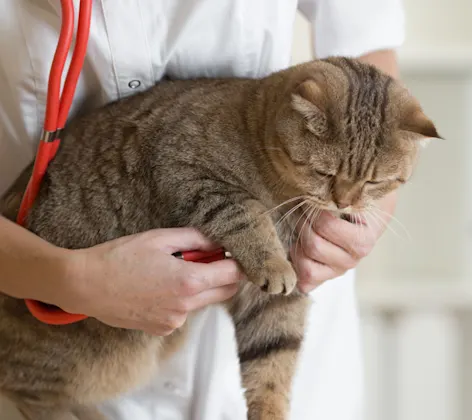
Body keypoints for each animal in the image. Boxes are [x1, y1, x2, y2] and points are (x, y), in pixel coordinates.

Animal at [0, 56, 438, 420]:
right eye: (324, 173)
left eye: (375, 182)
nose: (343, 200)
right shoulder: (187, 173)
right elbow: (244, 214)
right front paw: (271, 260)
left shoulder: (271, 304)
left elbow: (273, 361)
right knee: (27, 391)